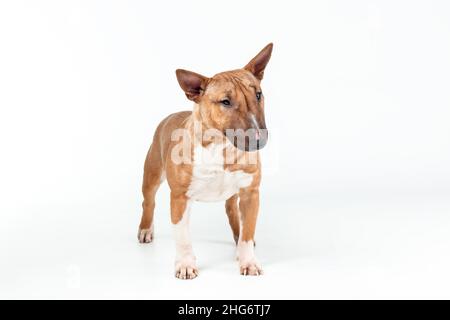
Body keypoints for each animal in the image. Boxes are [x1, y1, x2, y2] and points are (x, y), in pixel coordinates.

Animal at [137, 43, 272, 278]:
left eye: (258, 94)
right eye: (225, 101)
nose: (259, 139)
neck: (221, 148)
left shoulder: (250, 193)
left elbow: (247, 232)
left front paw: (248, 261)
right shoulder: (180, 197)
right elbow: (182, 237)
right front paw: (185, 265)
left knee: (232, 211)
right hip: (152, 173)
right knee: (148, 201)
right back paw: (145, 230)